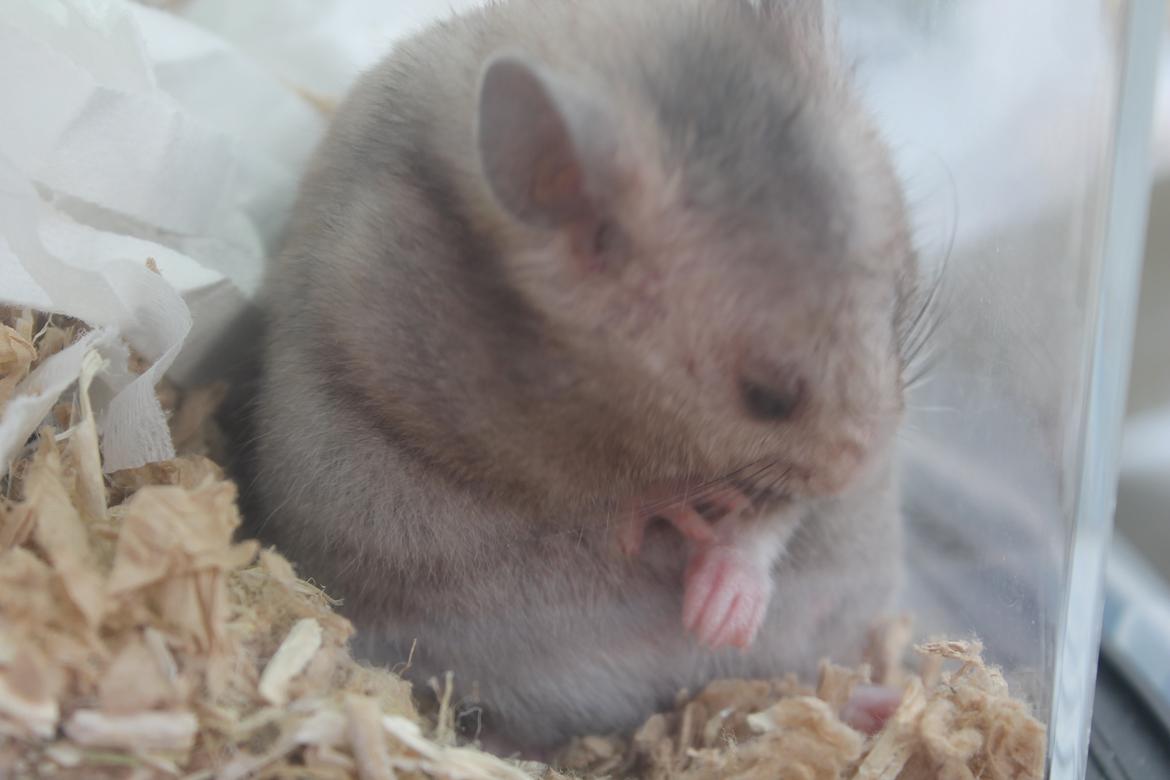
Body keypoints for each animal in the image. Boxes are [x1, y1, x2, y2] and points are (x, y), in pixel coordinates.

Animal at [253, 0, 916, 755]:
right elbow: (582, 514)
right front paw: (667, 522)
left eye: (897, 308)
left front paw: (717, 611)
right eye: (767, 397)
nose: (858, 473)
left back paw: (878, 703)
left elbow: (771, 520)